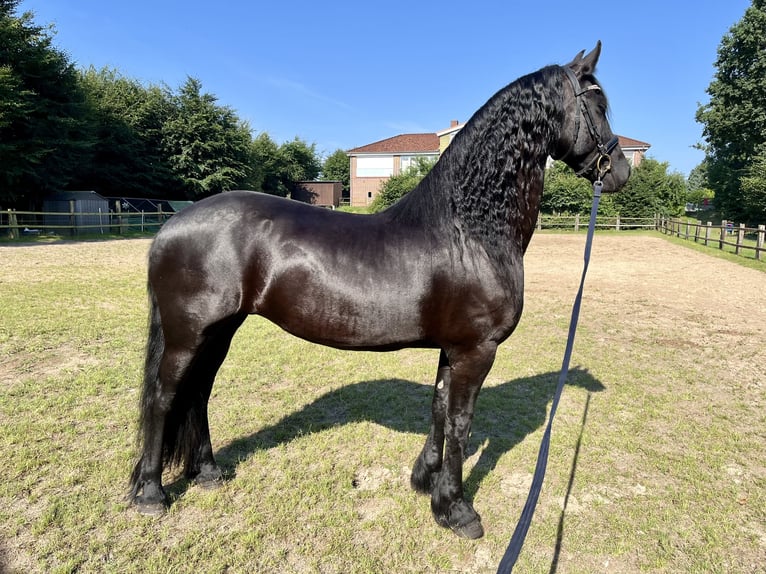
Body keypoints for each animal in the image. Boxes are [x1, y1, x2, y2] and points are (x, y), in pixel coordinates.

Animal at [127, 44, 632, 540]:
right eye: (598, 105)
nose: (621, 171)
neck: (468, 229)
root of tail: (172, 223)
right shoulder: (477, 350)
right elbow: (461, 423)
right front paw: (456, 509)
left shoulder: (453, 348)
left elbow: (438, 407)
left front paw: (424, 480)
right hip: (189, 333)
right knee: (165, 396)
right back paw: (151, 493)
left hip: (219, 331)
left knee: (197, 393)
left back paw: (208, 472)